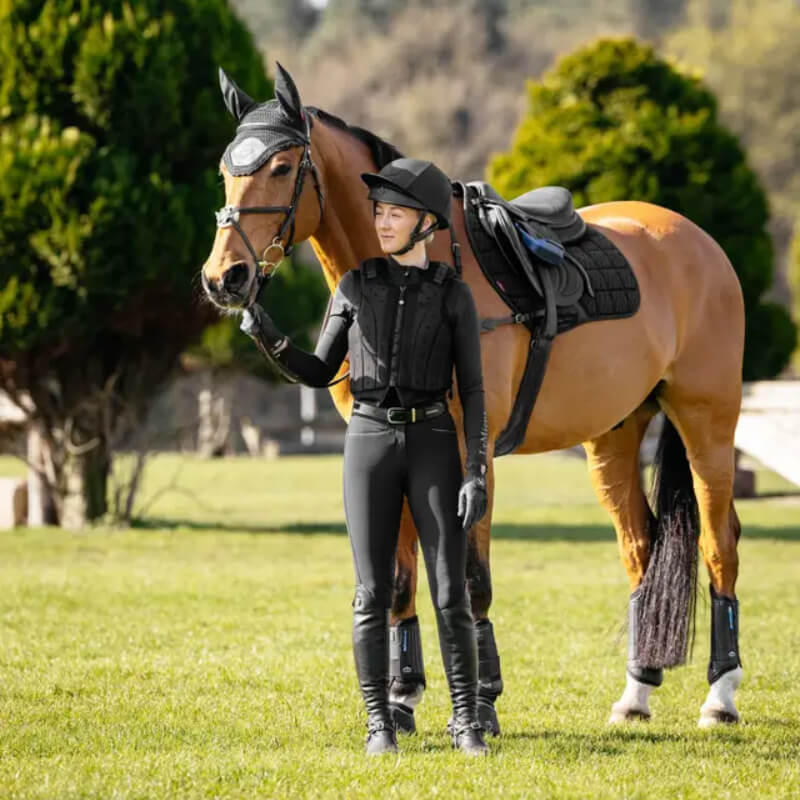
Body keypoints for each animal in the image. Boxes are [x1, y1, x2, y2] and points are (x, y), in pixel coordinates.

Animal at [201, 63, 745, 731]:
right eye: (226, 170)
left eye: (281, 167)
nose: (225, 278)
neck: (405, 279)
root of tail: (697, 242)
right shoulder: (390, 442)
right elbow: (400, 579)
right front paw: (403, 697)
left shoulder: (470, 451)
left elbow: (472, 578)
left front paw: (482, 701)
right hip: (614, 436)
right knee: (640, 548)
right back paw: (636, 692)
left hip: (706, 423)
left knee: (719, 545)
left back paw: (720, 695)